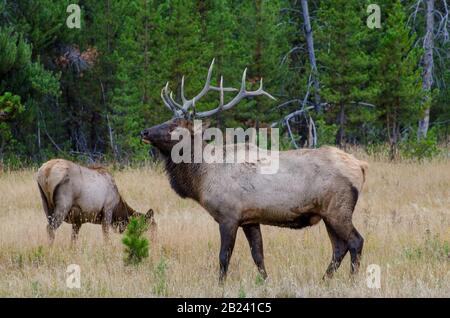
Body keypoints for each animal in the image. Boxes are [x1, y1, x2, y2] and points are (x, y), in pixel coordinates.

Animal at [142, 60, 370, 284]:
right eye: (168, 120)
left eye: (174, 126)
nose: (144, 132)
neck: (203, 178)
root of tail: (361, 166)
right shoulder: (250, 219)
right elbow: (258, 254)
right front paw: (265, 282)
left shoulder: (229, 215)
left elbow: (224, 256)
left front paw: (220, 285)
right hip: (327, 213)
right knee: (339, 247)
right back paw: (324, 280)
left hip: (338, 209)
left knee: (355, 241)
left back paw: (352, 281)